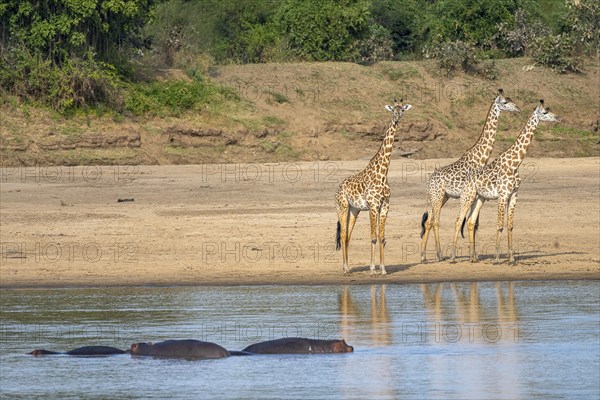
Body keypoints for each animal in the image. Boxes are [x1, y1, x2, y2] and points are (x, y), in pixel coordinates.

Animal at [332, 98, 412, 276]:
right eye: (393, 110)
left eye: (403, 110)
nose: (397, 118)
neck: (383, 172)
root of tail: (337, 189)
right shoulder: (373, 205)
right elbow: (373, 237)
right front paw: (372, 269)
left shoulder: (385, 205)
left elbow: (382, 237)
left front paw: (383, 269)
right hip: (342, 207)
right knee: (342, 235)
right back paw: (345, 269)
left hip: (354, 210)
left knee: (347, 236)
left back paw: (346, 267)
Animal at [420, 89, 524, 262]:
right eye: (505, 102)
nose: (518, 108)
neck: (480, 157)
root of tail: (428, 182)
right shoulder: (474, 194)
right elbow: (472, 223)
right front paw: (473, 255)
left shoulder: (478, 195)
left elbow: (474, 223)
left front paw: (474, 254)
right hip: (438, 197)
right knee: (434, 221)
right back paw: (439, 255)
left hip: (442, 197)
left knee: (429, 221)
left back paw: (424, 256)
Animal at [452, 100, 560, 264]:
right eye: (545, 112)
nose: (558, 118)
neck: (514, 164)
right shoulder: (502, 195)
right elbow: (499, 225)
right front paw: (497, 258)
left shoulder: (514, 195)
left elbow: (510, 226)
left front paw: (511, 259)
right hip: (467, 196)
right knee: (458, 220)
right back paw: (452, 257)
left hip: (479, 198)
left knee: (470, 221)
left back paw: (472, 258)